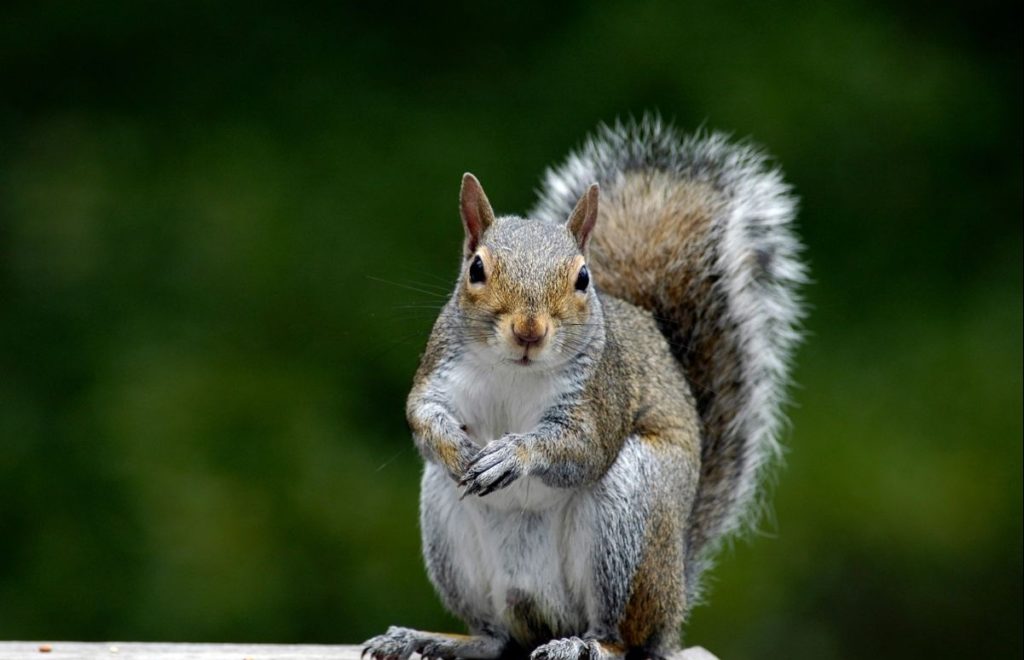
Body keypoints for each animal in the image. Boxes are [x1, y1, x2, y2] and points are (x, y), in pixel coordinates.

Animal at [363, 117, 805, 660]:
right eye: (476, 269)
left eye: (582, 277)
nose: (529, 331)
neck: (516, 371)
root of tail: (675, 601)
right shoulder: (441, 371)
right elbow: (423, 412)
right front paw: (456, 446)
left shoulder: (601, 394)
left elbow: (584, 446)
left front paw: (513, 454)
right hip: (448, 527)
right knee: (496, 638)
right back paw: (432, 639)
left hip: (629, 521)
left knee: (623, 637)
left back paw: (584, 645)